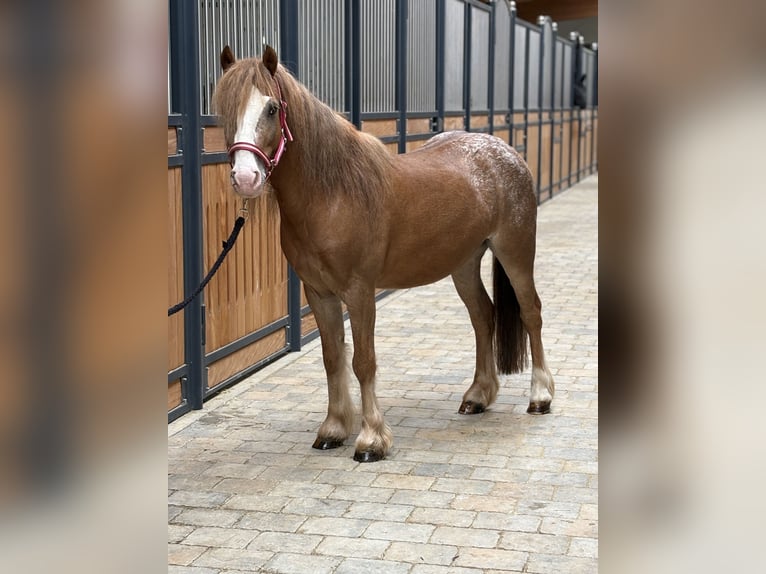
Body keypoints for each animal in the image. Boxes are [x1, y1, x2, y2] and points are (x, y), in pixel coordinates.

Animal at [213, 45, 555, 462]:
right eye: (225, 108)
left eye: (272, 108)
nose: (246, 178)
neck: (332, 194)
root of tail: (504, 151)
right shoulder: (319, 293)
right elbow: (331, 358)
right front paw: (333, 429)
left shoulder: (360, 292)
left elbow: (363, 361)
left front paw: (371, 440)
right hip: (464, 263)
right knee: (482, 316)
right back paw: (477, 396)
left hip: (515, 250)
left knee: (531, 312)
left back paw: (540, 396)